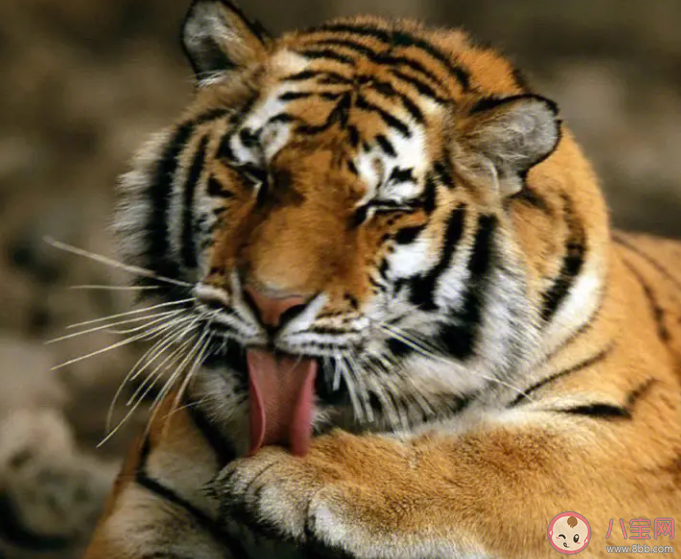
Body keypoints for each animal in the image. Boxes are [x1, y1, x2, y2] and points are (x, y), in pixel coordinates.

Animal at [84, 1, 681, 558]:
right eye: (255, 173)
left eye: (380, 206)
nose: (269, 303)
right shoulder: (151, 509)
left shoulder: (628, 425)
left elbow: (494, 456)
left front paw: (287, 478)